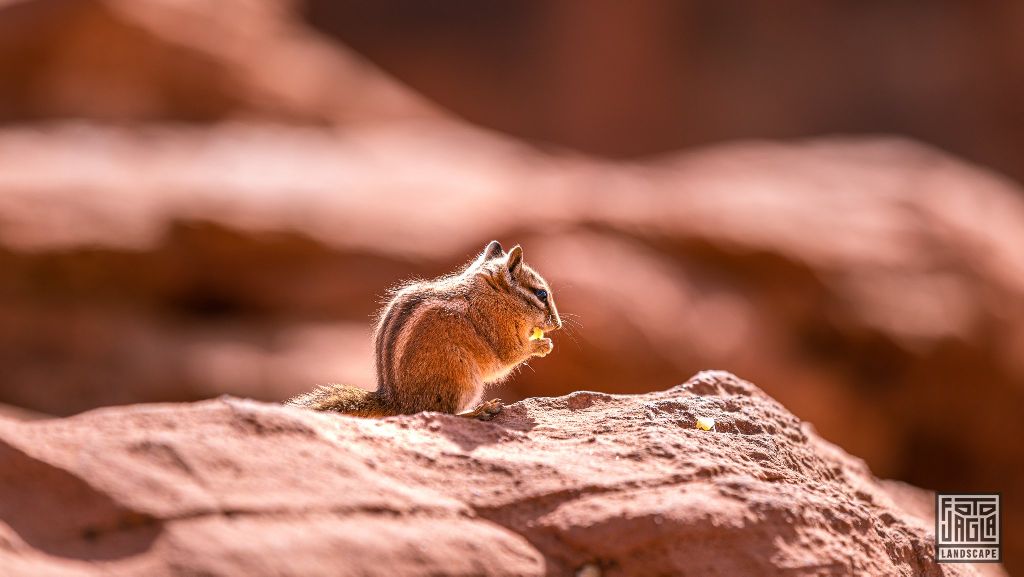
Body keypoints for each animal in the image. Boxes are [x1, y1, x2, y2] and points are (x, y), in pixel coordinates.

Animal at [285, 241, 561, 420]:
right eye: (541, 294)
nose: (557, 324)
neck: (492, 294)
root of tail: (396, 403)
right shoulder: (499, 331)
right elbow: (509, 357)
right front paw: (542, 345)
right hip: (461, 378)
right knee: (443, 413)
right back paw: (480, 411)